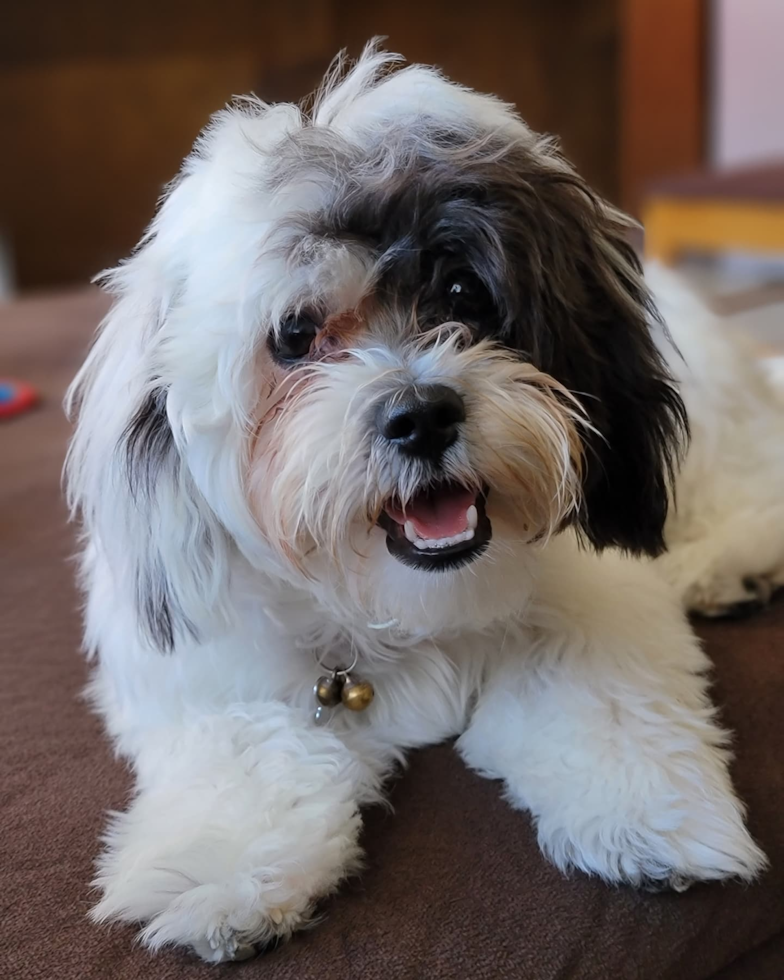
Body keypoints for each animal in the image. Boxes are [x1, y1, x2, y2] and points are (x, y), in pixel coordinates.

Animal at [66, 47, 784, 964]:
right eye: (294, 335)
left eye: (463, 293)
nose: (421, 414)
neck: (398, 605)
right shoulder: (203, 671)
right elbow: (243, 749)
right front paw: (220, 865)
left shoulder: (596, 599)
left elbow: (601, 691)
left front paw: (648, 819)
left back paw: (729, 566)